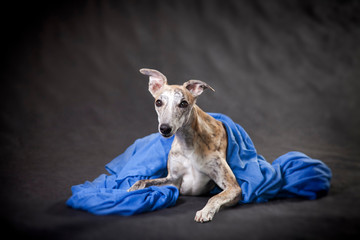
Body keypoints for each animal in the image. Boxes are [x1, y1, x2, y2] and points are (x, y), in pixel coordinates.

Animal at [127, 68, 242, 222]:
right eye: (158, 102)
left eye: (183, 103)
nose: (165, 128)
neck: (188, 146)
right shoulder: (173, 180)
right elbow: (144, 180)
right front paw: (129, 191)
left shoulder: (233, 187)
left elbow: (215, 197)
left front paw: (205, 211)